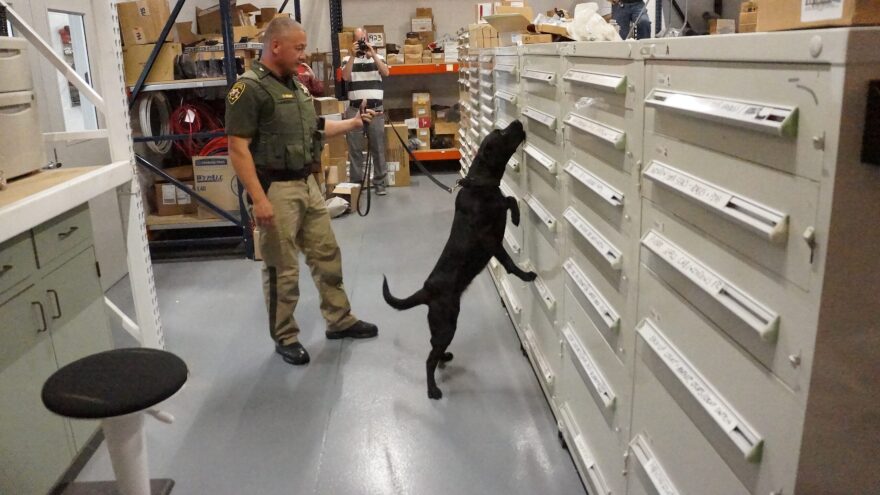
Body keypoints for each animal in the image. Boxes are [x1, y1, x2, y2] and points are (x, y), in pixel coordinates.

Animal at [380, 122, 536, 402]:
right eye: (502, 134)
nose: (518, 123)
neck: (479, 184)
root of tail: (426, 290)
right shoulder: (491, 240)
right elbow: (509, 253)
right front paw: (526, 273)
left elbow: (509, 199)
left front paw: (516, 216)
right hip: (447, 324)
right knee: (429, 360)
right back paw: (432, 390)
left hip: (440, 327)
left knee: (433, 348)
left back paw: (445, 357)